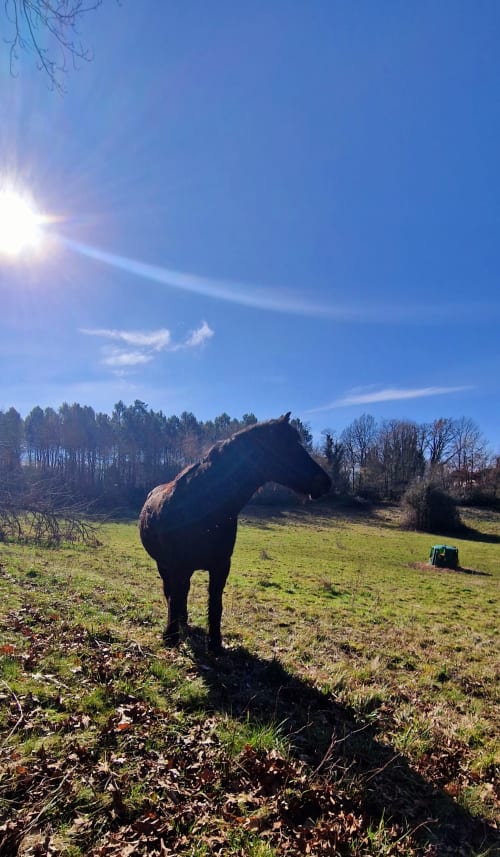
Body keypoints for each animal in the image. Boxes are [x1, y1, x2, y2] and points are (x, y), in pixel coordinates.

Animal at [139, 413, 331, 652]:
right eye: (288, 446)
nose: (325, 482)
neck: (202, 507)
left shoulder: (221, 566)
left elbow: (215, 604)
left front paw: (215, 644)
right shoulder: (178, 566)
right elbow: (176, 597)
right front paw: (170, 637)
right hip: (164, 565)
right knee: (171, 592)